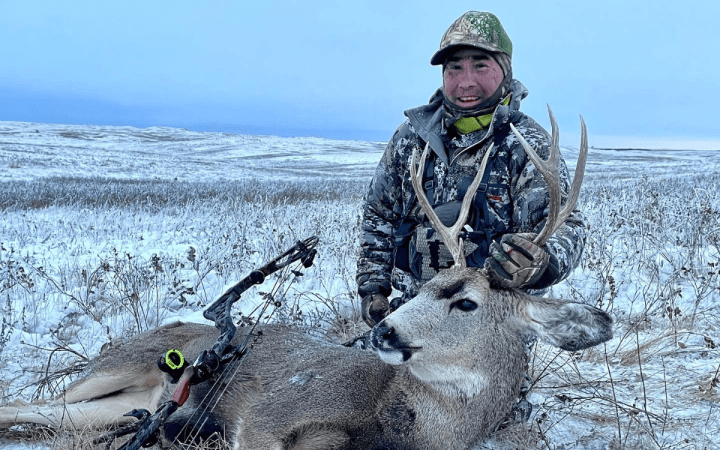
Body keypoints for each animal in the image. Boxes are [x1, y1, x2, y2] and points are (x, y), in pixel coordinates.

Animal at [0, 109, 612, 450]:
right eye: (418, 290)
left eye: (466, 303)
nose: (384, 330)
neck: (406, 422)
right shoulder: (270, 416)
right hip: (115, 368)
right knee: (26, 399)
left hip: (121, 403)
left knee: (45, 415)